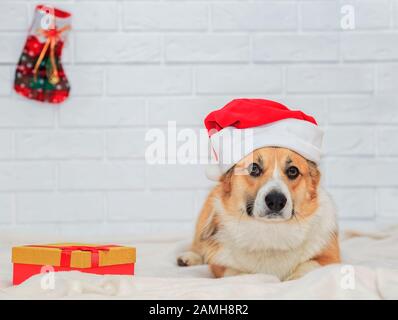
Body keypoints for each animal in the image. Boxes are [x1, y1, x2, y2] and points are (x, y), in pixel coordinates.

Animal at [179, 147, 340, 280]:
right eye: (254, 168)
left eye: (293, 171)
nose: (276, 201)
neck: (270, 229)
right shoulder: (220, 264)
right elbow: (235, 272)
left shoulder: (330, 258)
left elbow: (308, 266)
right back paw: (188, 258)